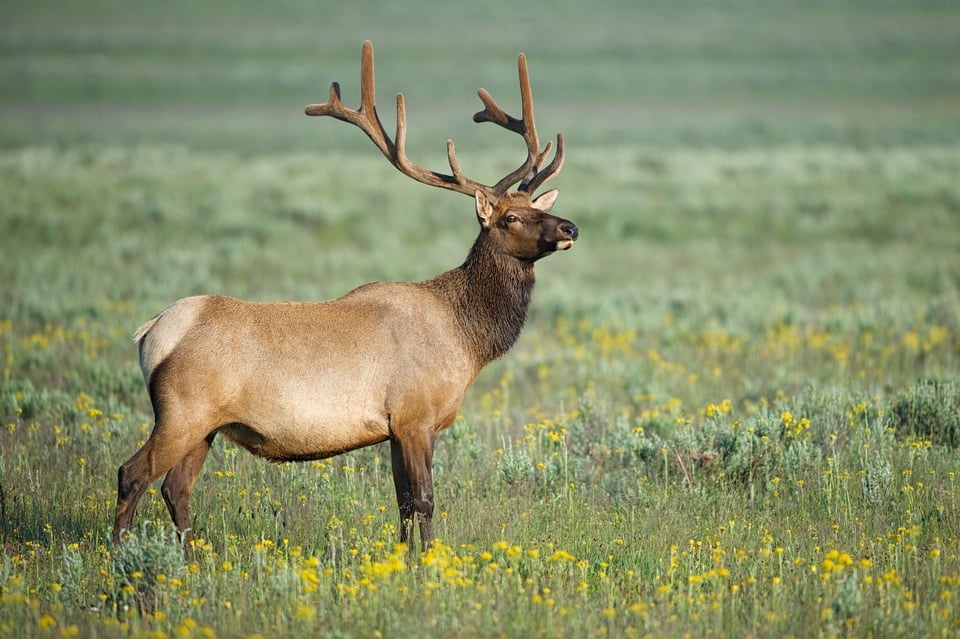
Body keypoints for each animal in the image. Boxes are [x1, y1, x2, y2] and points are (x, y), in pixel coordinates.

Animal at [112, 41, 576, 552]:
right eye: (510, 218)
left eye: (536, 207)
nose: (569, 227)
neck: (466, 340)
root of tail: (151, 332)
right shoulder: (415, 417)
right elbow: (426, 500)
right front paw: (431, 560)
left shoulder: (395, 429)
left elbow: (404, 503)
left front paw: (404, 558)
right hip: (182, 412)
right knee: (131, 474)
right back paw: (121, 556)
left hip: (206, 426)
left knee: (175, 487)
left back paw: (190, 559)